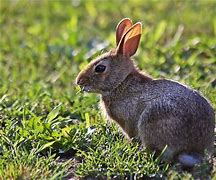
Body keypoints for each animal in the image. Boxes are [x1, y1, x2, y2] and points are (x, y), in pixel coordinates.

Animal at [75, 18, 214, 167]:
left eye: (100, 68)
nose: (79, 81)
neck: (121, 82)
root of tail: (193, 150)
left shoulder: (127, 122)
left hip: (152, 120)